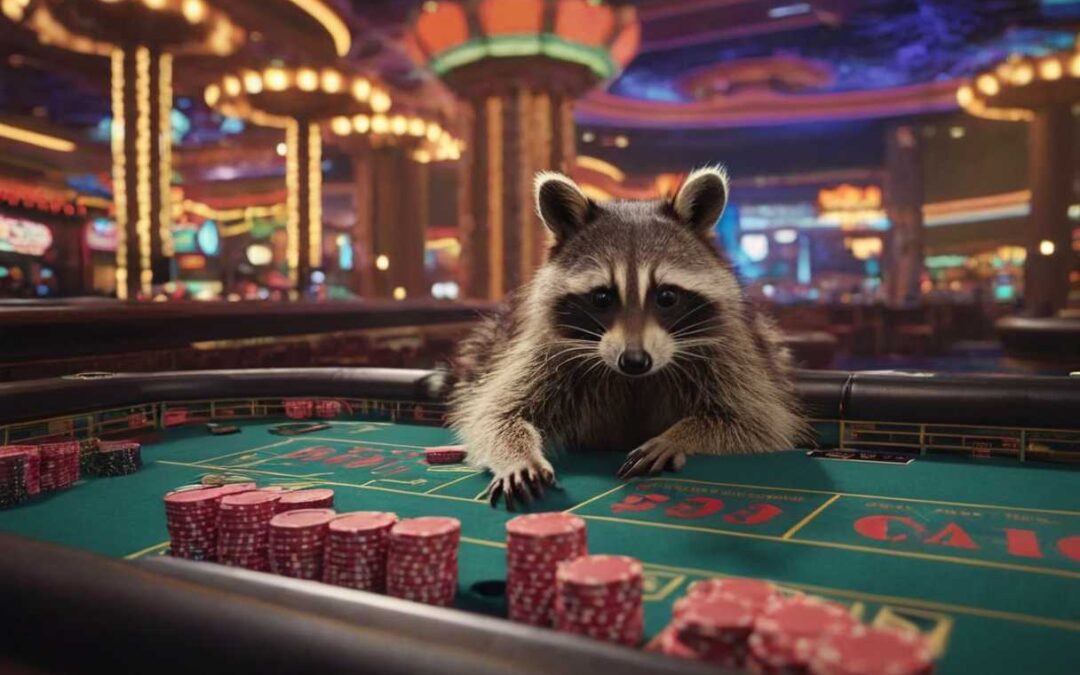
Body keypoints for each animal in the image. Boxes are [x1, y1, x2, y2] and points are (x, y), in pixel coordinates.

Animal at [440, 167, 806, 509]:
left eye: (667, 296)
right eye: (602, 297)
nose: (634, 360)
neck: (633, 379)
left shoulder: (729, 355)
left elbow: (755, 421)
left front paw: (678, 436)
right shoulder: (544, 353)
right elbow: (495, 414)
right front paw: (518, 456)